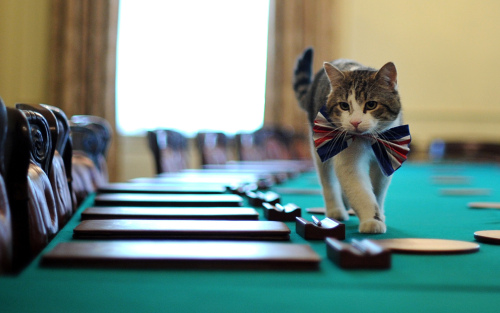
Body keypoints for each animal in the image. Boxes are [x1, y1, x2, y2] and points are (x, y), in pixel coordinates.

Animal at [292, 47, 408, 233]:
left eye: (371, 104)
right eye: (344, 106)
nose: (355, 122)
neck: (367, 140)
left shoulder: (385, 155)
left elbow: (378, 190)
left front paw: (379, 214)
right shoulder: (348, 160)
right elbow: (360, 190)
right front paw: (371, 220)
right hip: (321, 144)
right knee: (328, 181)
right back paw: (336, 210)